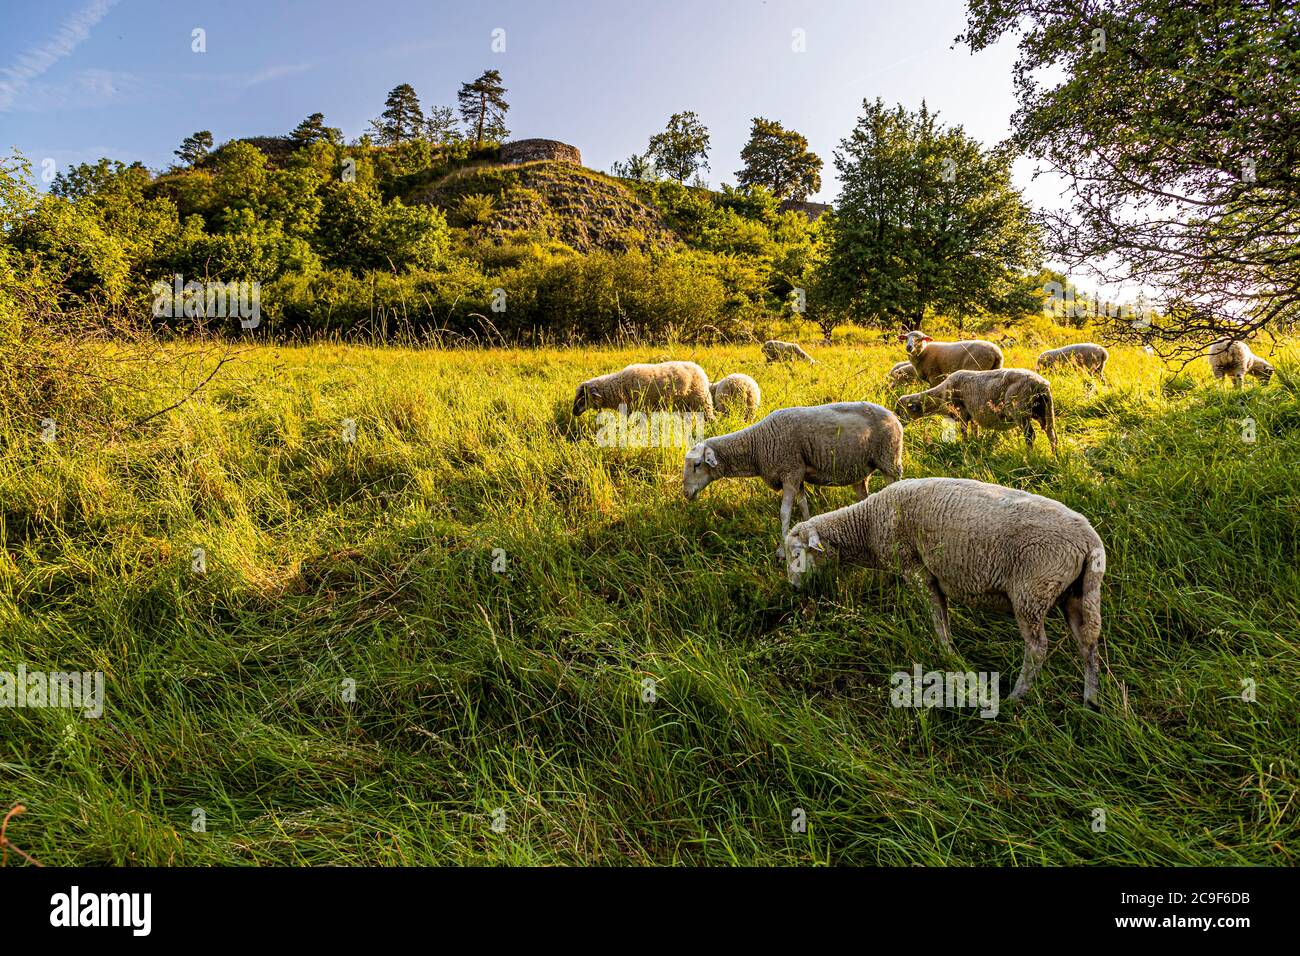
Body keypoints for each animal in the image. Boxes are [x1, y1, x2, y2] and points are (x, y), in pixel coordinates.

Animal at [681, 403, 904, 554]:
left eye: (697, 464)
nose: (686, 493)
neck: (757, 445)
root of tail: (895, 418)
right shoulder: (798, 476)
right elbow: (803, 505)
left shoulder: (790, 472)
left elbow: (784, 513)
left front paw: (781, 551)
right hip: (861, 470)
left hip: (889, 460)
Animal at [780, 478, 1107, 712]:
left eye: (797, 554)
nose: (793, 589)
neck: (867, 525)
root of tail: (1088, 542)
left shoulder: (917, 569)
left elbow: (937, 615)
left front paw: (948, 654)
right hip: (1076, 593)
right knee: (1087, 642)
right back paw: (1090, 700)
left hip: (1032, 591)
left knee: (1038, 648)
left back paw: (1016, 696)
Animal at [899, 369, 1060, 455]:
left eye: (900, 411)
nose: (899, 425)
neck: (941, 396)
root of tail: (1041, 385)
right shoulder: (973, 414)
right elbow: (974, 430)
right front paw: (974, 443)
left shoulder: (962, 412)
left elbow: (964, 431)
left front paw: (964, 448)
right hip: (1046, 409)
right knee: (1052, 434)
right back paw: (1055, 457)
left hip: (1020, 411)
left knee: (1030, 436)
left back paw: (1029, 457)